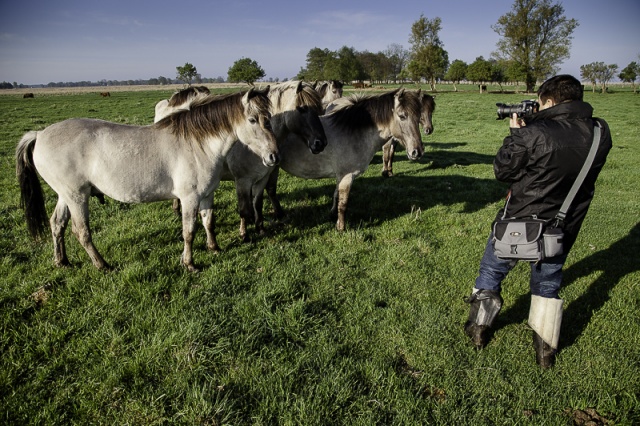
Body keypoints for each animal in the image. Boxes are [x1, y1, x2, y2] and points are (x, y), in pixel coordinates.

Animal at [16, 88, 278, 272]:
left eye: (269, 117)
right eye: (253, 120)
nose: (274, 156)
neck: (197, 144)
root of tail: (39, 134)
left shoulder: (207, 195)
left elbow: (208, 222)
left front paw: (214, 248)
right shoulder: (189, 198)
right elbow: (189, 231)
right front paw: (189, 263)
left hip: (65, 195)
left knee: (57, 224)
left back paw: (62, 261)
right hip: (77, 196)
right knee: (81, 232)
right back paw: (102, 265)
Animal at [154, 81, 324, 248]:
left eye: (318, 109)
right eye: (302, 109)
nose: (320, 143)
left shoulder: (262, 178)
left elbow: (257, 203)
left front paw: (260, 228)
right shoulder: (243, 181)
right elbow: (244, 209)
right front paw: (244, 235)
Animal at [262, 88, 422, 231]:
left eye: (419, 117)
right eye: (402, 116)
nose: (417, 151)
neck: (355, 133)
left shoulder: (340, 176)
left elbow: (336, 195)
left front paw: (333, 215)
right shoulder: (347, 176)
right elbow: (343, 203)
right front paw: (341, 227)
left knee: (270, 190)